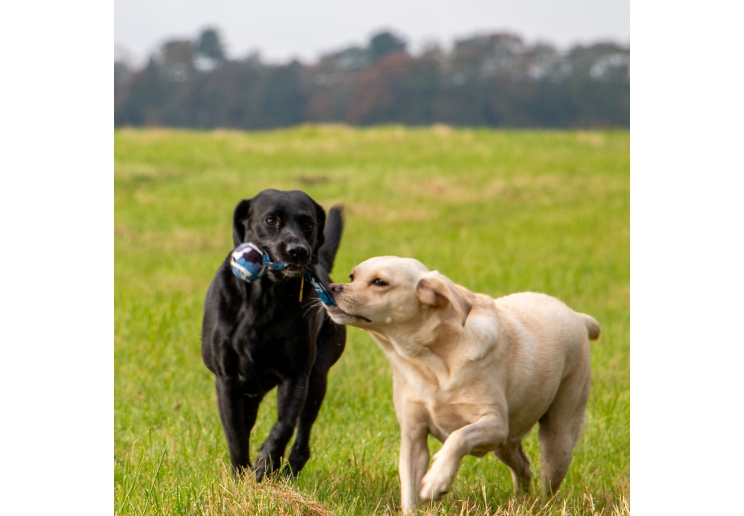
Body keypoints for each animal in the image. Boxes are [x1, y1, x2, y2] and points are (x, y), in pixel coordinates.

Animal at [201, 188, 346, 480]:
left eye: (308, 224)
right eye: (271, 221)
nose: (298, 250)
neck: (263, 299)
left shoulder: (297, 375)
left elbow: (284, 424)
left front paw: (266, 463)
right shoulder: (227, 380)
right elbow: (235, 436)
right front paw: (240, 478)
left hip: (317, 378)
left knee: (303, 434)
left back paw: (288, 470)